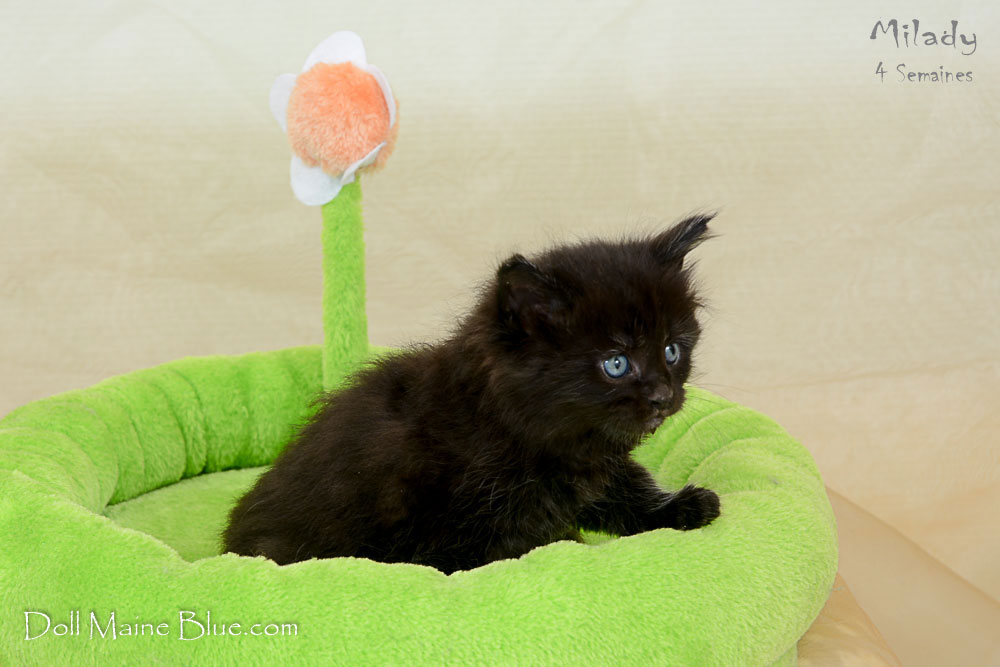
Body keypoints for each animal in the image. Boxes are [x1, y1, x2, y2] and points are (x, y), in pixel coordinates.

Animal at [223, 213, 721, 573]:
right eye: (616, 363)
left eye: (672, 350)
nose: (663, 395)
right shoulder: (461, 530)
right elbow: (528, 547)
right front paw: (573, 547)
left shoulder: (595, 463)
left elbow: (627, 487)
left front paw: (680, 508)